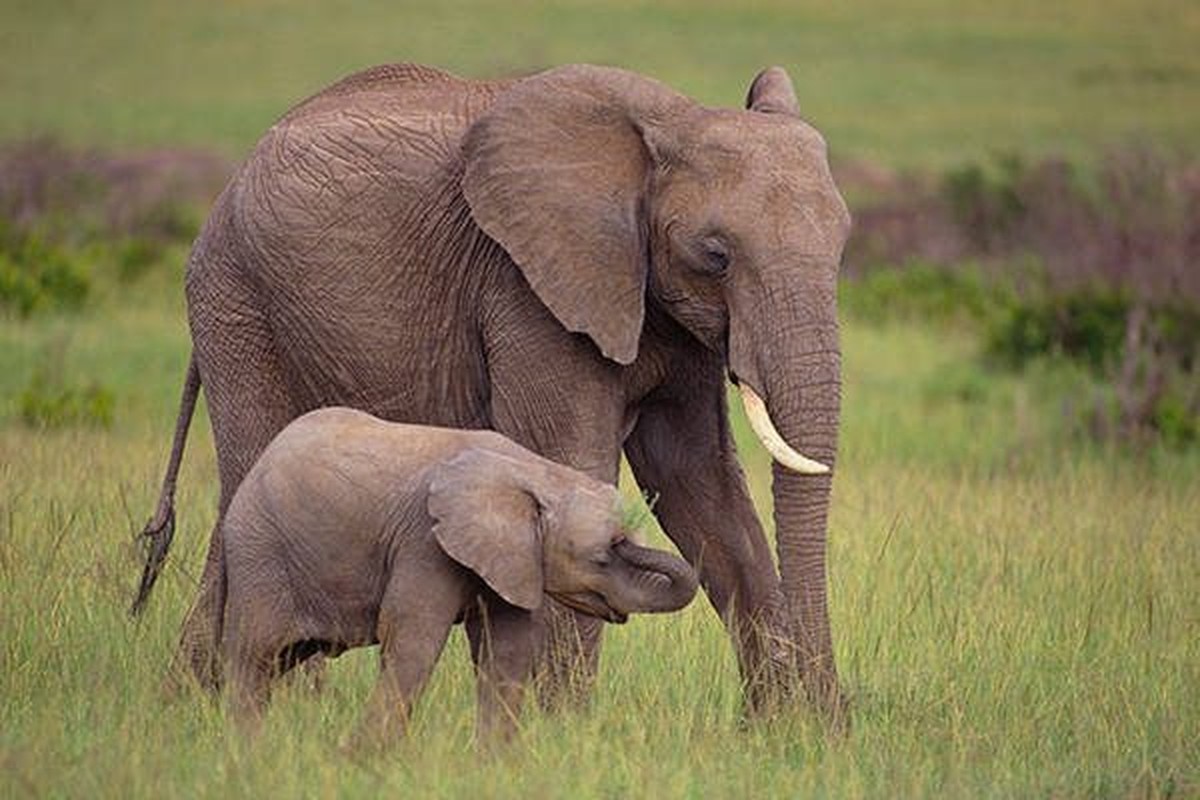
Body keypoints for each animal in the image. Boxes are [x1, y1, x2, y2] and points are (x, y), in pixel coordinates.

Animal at [220, 410, 700, 743]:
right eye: (601, 558)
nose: (633, 518)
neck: (535, 471)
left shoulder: (512, 559)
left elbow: (507, 651)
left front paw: (494, 762)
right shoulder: (424, 541)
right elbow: (413, 640)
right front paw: (360, 757)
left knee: (279, 659)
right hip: (258, 552)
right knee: (255, 659)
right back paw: (249, 750)